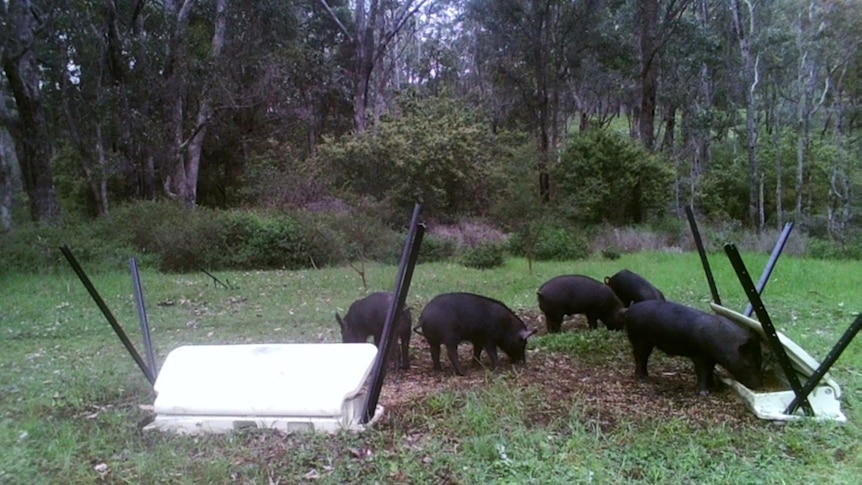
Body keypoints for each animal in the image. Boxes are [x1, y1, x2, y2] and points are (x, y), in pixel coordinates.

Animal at [624, 298, 768, 394]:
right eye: (748, 365)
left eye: (760, 361)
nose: (760, 386)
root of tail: (629, 310)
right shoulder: (699, 355)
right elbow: (702, 372)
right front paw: (704, 393)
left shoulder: (711, 358)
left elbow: (710, 371)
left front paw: (713, 387)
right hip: (638, 337)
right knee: (639, 357)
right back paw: (642, 379)